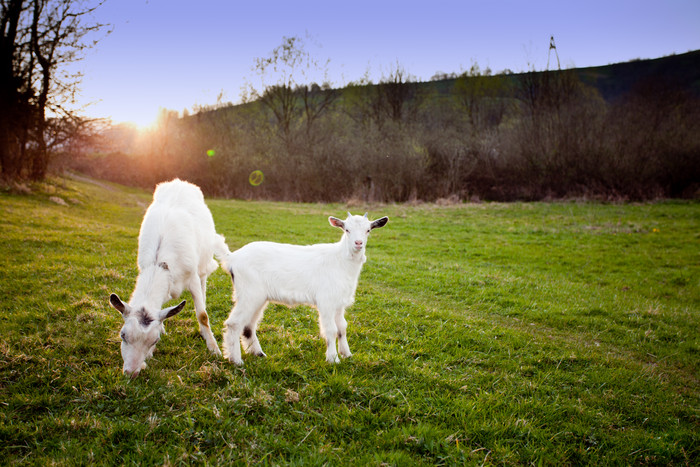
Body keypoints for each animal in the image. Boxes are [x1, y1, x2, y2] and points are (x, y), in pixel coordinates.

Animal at [107, 178, 227, 376]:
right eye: (123, 335)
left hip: (203, 263)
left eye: (154, 341)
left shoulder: (192, 277)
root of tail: (180, 182)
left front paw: (214, 349)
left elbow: (202, 315)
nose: (131, 372)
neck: (159, 263)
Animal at [221, 212, 388, 366]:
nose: (358, 243)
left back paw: (258, 354)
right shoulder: (326, 301)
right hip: (249, 293)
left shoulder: (339, 303)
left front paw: (347, 354)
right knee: (234, 323)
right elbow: (331, 330)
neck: (341, 260)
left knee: (248, 325)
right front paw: (333, 359)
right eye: (347, 229)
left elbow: (342, 328)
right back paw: (236, 360)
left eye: (368, 230)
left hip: (258, 298)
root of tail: (232, 257)